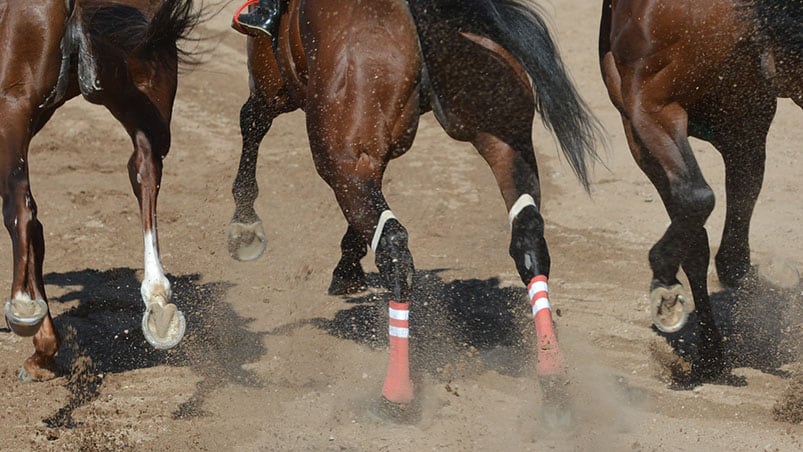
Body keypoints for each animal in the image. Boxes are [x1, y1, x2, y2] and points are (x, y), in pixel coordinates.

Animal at [0, 0, 201, 382]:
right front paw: (45, 350)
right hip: (139, 93)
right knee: (145, 168)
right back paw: (158, 301)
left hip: (13, 105)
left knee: (19, 207)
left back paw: (22, 307)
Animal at [226, 0, 604, 414]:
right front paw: (348, 264)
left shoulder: (274, 81)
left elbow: (251, 122)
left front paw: (245, 225)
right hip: (505, 137)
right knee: (528, 233)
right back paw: (552, 370)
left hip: (336, 153)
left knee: (393, 245)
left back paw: (396, 393)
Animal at [600, 0, 800, 382]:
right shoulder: (654, 118)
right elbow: (704, 231)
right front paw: (709, 351)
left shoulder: (731, 123)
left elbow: (701, 212)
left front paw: (664, 279)